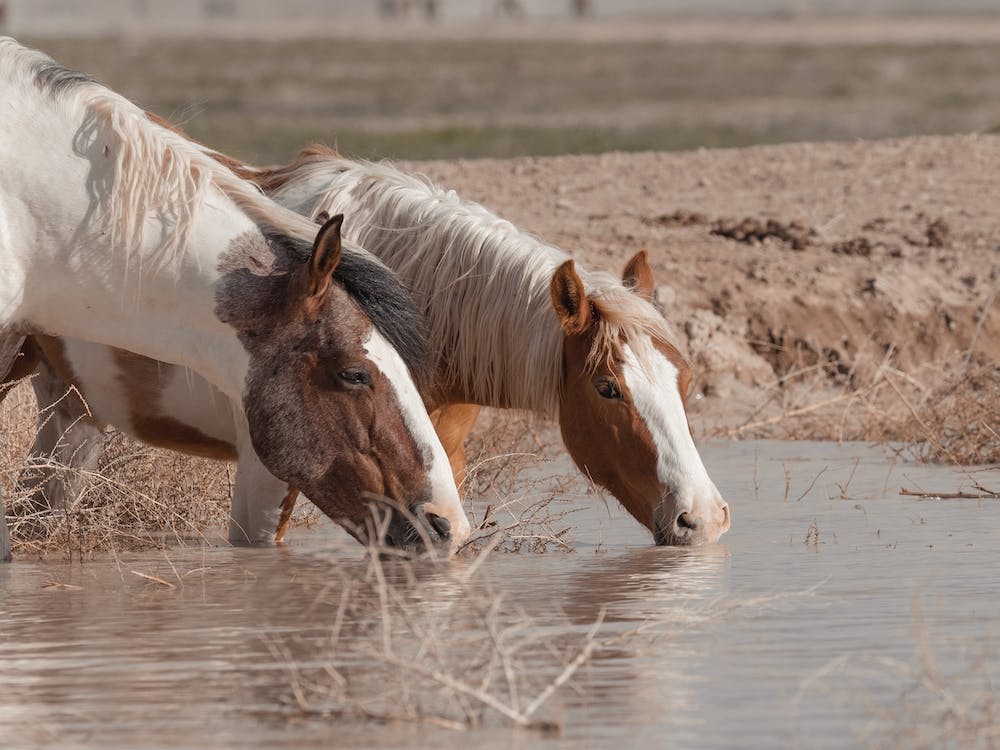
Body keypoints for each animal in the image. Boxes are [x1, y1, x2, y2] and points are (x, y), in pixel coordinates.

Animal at [16, 144, 729, 547]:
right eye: (608, 387)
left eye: (686, 383)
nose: (703, 518)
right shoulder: (271, 474)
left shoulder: (436, 478)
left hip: (71, 412)